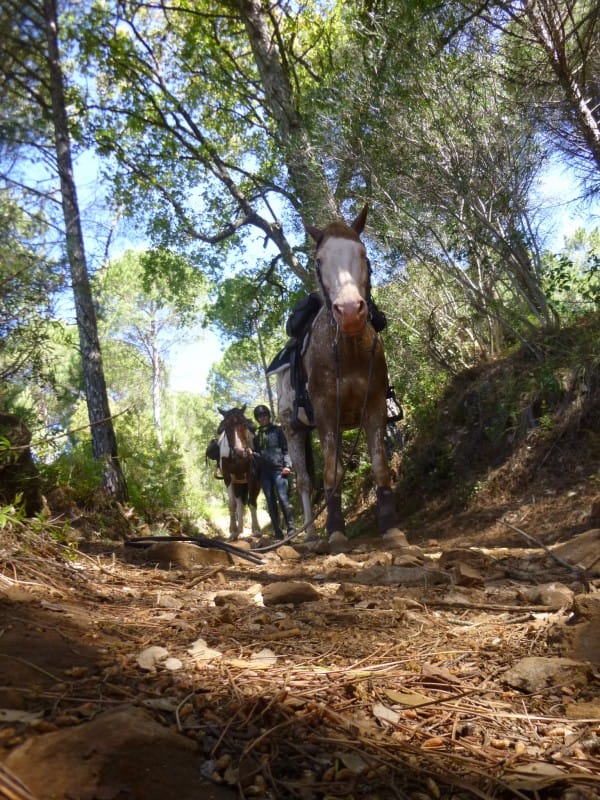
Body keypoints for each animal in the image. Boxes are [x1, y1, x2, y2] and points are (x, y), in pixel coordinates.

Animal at [218, 406, 260, 536]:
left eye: (245, 424)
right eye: (225, 427)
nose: (240, 452)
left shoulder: (252, 475)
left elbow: (252, 502)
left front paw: (257, 530)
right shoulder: (227, 477)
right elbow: (232, 504)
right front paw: (232, 530)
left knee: (252, 500)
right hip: (238, 483)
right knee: (240, 502)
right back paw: (239, 529)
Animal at [278, 206, 404, 540]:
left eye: (362, 253)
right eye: (319, 260)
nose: (349, 311)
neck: (348, 350)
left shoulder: (375, 407)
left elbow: (380, 466)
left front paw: (391, 527)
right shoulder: (325, 413)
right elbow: (332, 473)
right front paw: (335, 531)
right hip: (293, 430)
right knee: (303, 482)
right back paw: (310, 535)